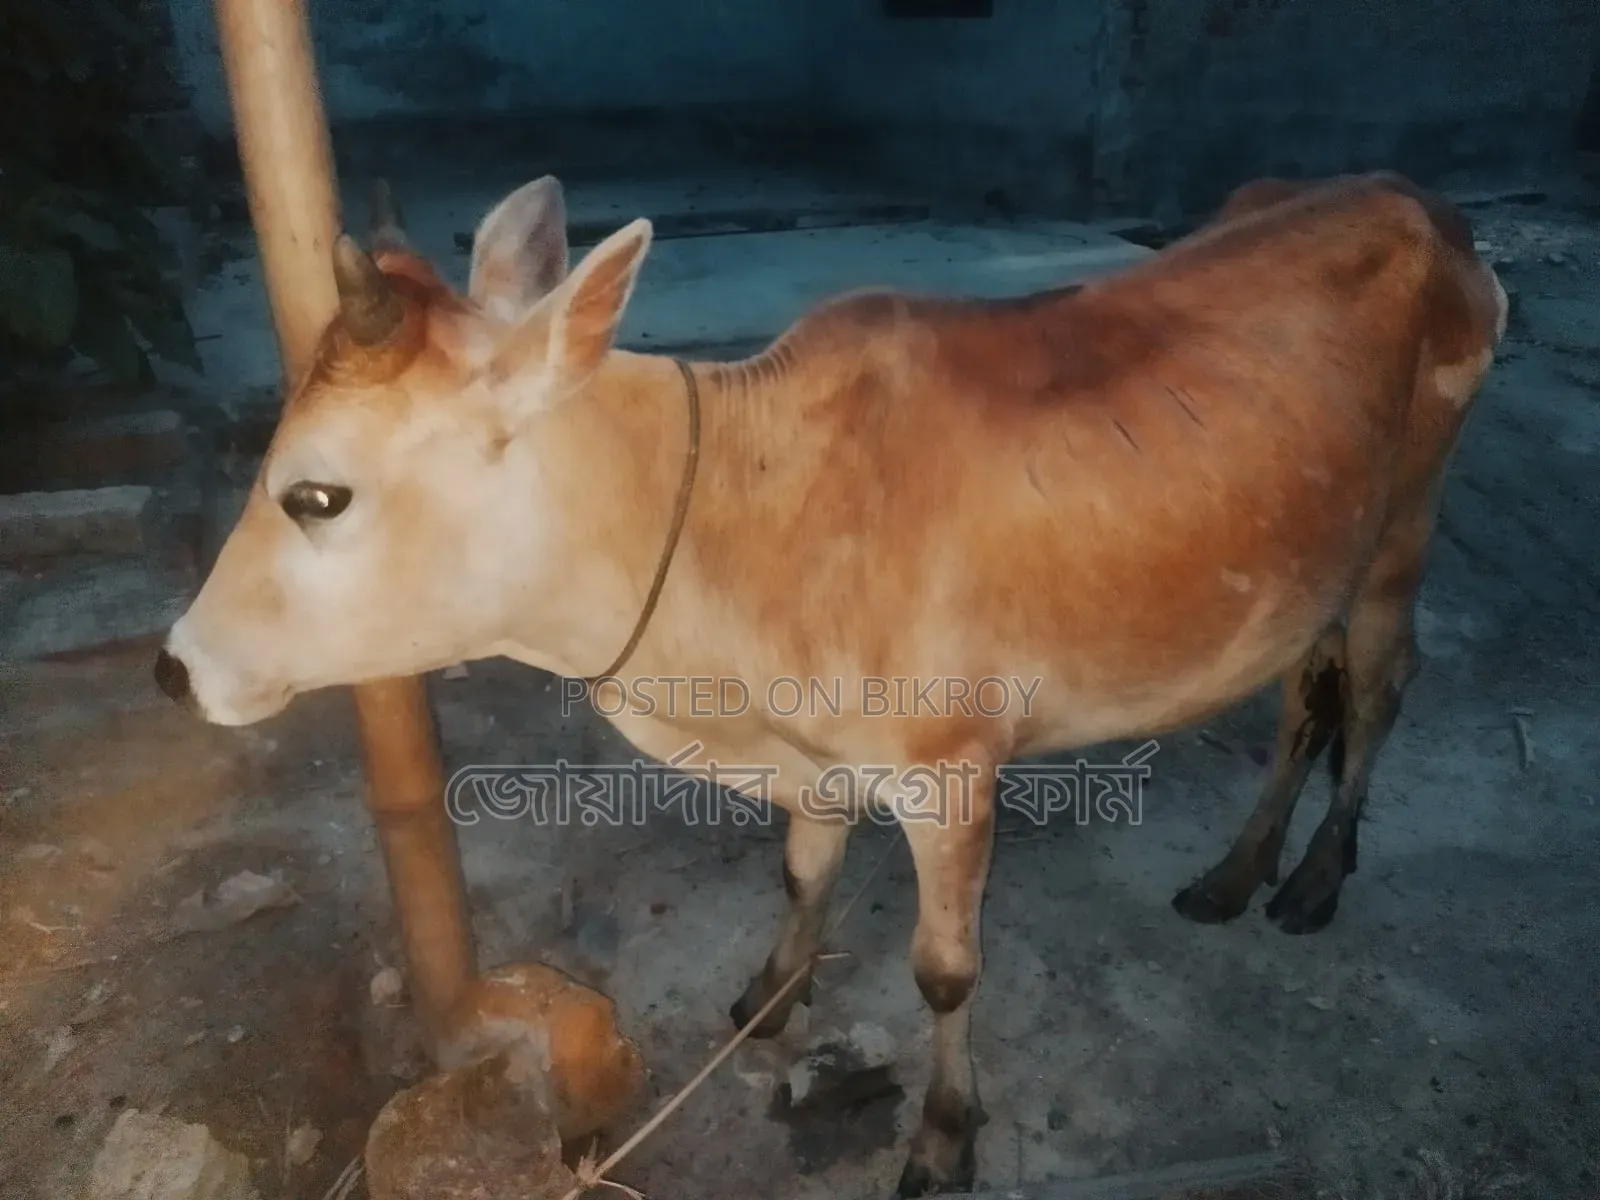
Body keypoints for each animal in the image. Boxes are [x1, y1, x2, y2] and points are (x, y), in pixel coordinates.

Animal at [152, 169, 1507, 1195]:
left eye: (315, 494)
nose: (175, 667)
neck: (736, 526)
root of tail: (1420, 204)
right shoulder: (812, 763)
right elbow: (802, 875)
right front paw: (772, 995)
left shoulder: (950, 776)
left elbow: (944, 971)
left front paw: (945, 1140)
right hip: (1312, 561)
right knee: (1301, 696)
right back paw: (1235, 872)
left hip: (1399, 533)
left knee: (1376, 686)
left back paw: (1315, 877)